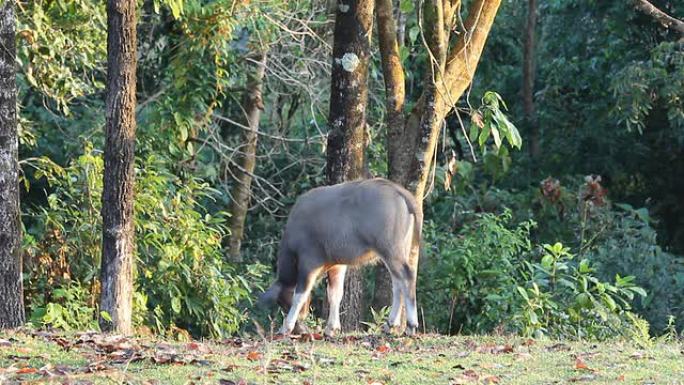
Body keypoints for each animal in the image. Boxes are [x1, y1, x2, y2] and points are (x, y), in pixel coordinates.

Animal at [260, 177, 422, 336]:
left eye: (285, 302)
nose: (300, 329)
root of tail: (397, 189)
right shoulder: (337, 265)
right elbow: (335, 294)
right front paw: (332, 328)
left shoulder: (309, 262)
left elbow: (300, 295)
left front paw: (286, 327)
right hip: (399, 251)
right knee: (398, 283)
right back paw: (391, 324)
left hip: (389, 250)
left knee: (406, 276)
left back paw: (410, 325)